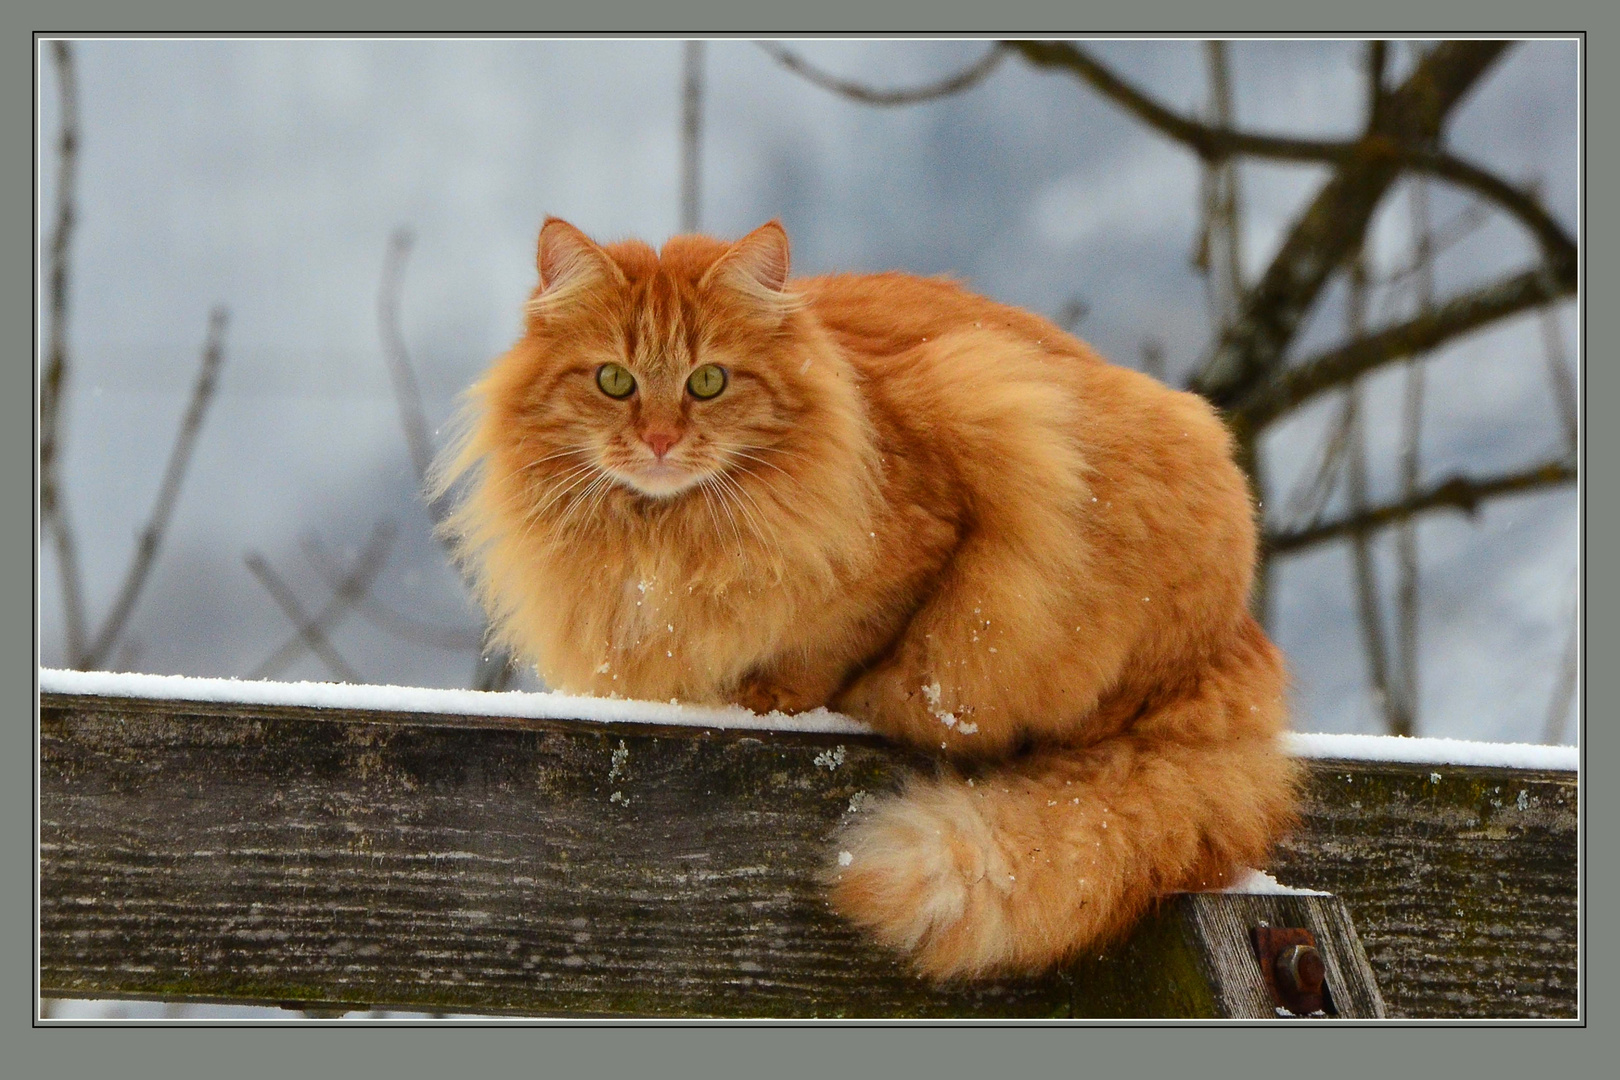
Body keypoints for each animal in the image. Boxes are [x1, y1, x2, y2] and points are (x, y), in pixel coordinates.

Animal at [434, 216, 1302, 977]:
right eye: (613, 382)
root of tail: (1238, 640)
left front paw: (773, 704)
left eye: (708, 382)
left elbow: (834, 649)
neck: (662, 539)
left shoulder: (930, 522)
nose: (658, 440)